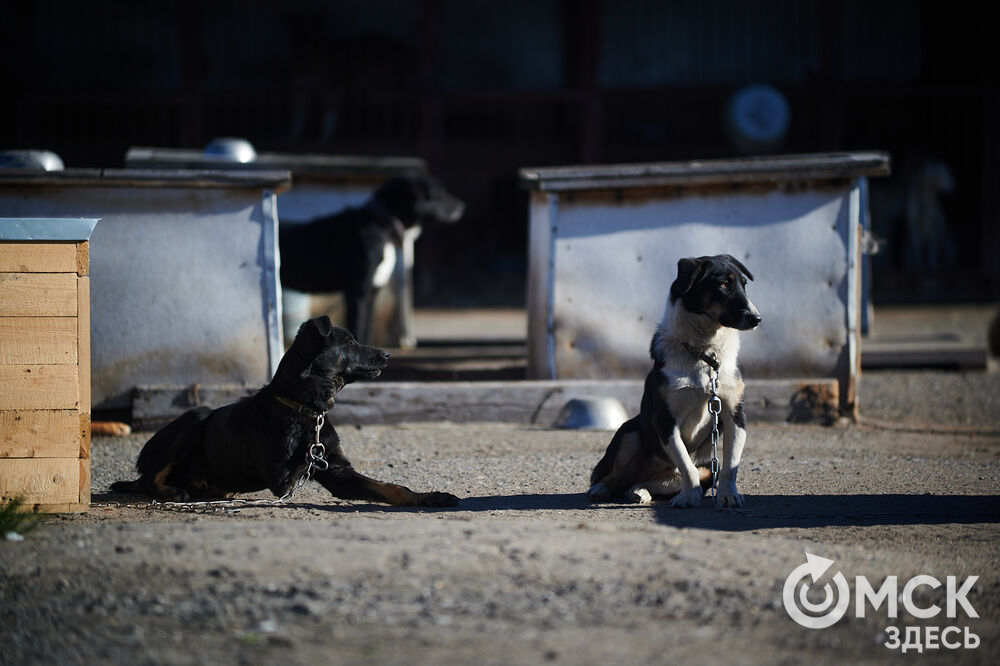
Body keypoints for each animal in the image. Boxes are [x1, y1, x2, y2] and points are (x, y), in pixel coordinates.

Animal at [111, 314, 458, 506]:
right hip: (195, 418)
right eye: (350, 342)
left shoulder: (338, 471)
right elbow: (303, 459)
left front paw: (430, 497)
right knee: (148, 479)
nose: (387, 354)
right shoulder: (282, 477)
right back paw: (178, 490)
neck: (306, 409)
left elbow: (391, 487)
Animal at [280, 172, 466, 342]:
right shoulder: (358, 292)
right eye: (438, 193)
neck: (382, 225)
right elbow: (357, 328)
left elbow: (366, 330)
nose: (462, 206)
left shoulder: (372, 292)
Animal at [584, 254, 756, 508]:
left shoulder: (735, 414)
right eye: (724, 284)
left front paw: (728, 495)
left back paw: (640, 491)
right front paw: (689, 497)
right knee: (613, 479)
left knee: (639, 484)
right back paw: (600, 489)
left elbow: (729, 465)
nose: (756, 318)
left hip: (705, 469)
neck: (704, 351)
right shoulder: (665, 419)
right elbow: (686, 465)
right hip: (629, 433)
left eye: (744, 285)